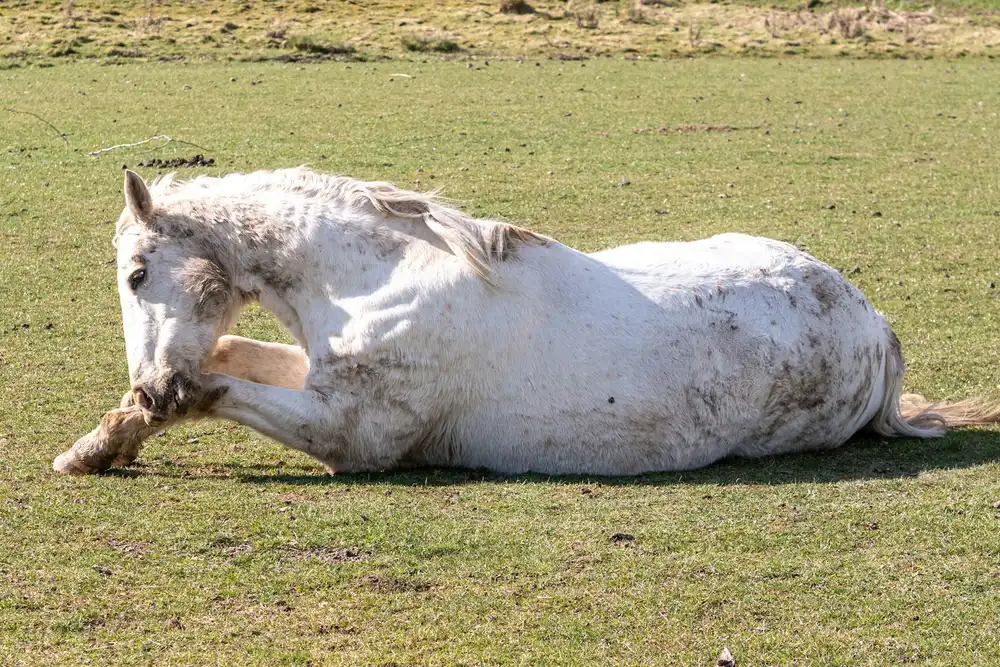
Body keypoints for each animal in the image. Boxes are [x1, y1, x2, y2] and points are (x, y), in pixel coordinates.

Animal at [53, 167, 1000, 476]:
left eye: (137, 275)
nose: (148, 379)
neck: (377, 277)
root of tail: (877, 330)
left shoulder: (351, 436)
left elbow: (212, 385)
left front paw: (108, 437)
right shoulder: (314, 376)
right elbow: (232, 357)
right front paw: (103, 439)